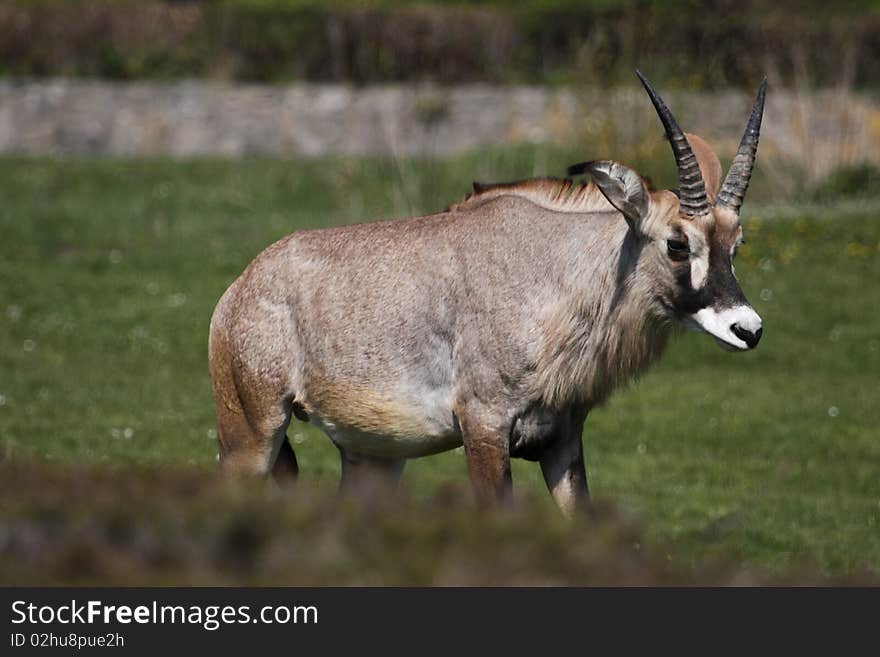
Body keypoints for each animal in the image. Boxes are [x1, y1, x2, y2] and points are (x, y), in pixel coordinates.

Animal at [210, 72, 768, 512]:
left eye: (735, 245)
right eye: (677, 243)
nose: (748, 329)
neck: (553, 274)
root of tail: (240, 289)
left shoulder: (562, 439)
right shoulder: (483, 426)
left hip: (374, 456)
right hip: (253, 431)